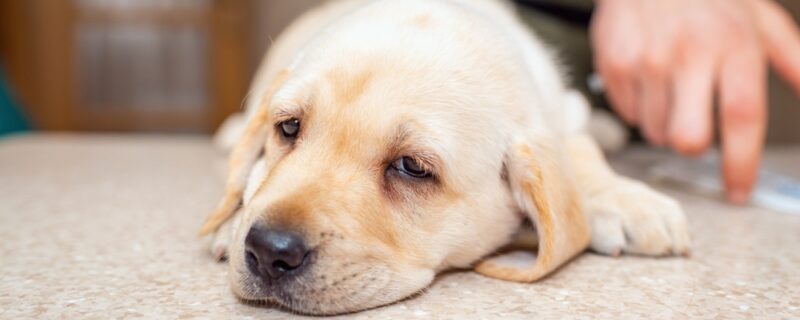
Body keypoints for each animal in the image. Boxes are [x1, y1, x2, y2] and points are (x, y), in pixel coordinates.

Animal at [198, 0, 688, 316]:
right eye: (289, 128)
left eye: (412, 168)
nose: (268, 251)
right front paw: (230, 219)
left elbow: (579, 150)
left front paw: (627, 200)